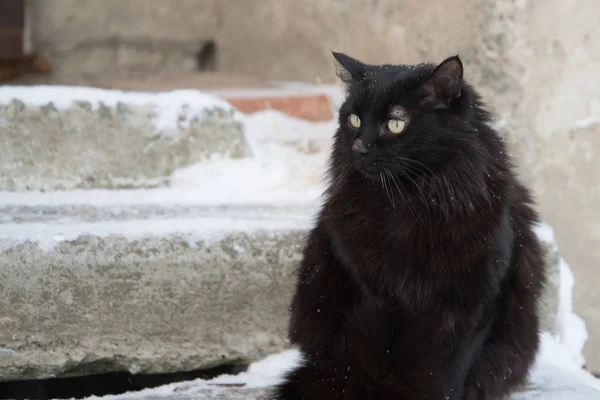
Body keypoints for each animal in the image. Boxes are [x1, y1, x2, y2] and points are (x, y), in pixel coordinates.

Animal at [274, 54, 548, 400]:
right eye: (354, 120)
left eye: (395, 124)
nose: (359, 147)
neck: (407, 202)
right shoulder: (366, 287)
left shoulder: (477, 299)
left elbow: (451, 372)